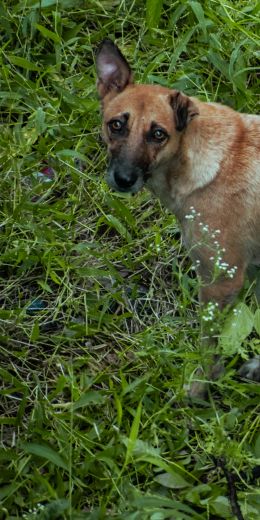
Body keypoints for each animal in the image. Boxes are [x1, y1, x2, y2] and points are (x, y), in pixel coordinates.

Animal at [96, 38, 260, 392]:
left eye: (158, 134)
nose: (123, 179)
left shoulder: (221, 281)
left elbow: (208, 348)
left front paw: (200, 386)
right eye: (116, 125)